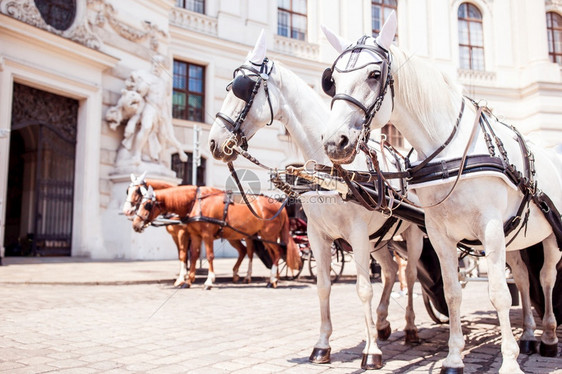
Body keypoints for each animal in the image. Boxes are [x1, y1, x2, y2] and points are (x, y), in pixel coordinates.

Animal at [125, 174, 254, 288]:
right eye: (127, 190)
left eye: (137, 191)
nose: (127, 211)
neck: (189, 204)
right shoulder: (177, 236)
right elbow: (185, 255)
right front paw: (186, 277)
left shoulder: (183, 234)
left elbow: (184, 255)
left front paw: (182, 278)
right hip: (233, 236)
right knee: (242, 251)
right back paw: (236, 274)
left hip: (247, 235)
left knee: (249, 252)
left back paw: (247, 276)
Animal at [132, 186, 300, 288]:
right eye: (140, 203)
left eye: (147, 205)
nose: (135, 224)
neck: (196, 202)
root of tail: (279, 206)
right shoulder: (195, 235)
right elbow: (193, 255)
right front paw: (188, 280)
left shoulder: (206, 235)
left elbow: (210, 256)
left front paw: (208, 281)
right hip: (262, 237)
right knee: (267, 254)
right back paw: (273, 278)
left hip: (268, 234)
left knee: (276, 253)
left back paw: (272, 279)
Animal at [208, 30, 426, 370]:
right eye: (229, 86)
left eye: (244, 89)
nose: (214, 142)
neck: (330, 170)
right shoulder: (318, 235)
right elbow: (323, 287)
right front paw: (322, 346)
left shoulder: (357, 235)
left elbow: (363, 288)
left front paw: (371, 352)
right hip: (380, 240)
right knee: (391, 272)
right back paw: (381, 323)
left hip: (412, 233)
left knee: (411, 276)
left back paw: (411, 327)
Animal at [320, 12, 560, 374]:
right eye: (331, 81)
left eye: (375, 74)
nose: (335, 142)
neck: (449, 153)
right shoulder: (439, 234)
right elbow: (452, 292)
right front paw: (454, 358)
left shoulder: (491, 230)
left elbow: (499, 294)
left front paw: (509, 361)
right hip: (518, 239)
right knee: (522, 277)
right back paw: (531, 335)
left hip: (550, 238)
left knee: (545, 278)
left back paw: (548, 336)